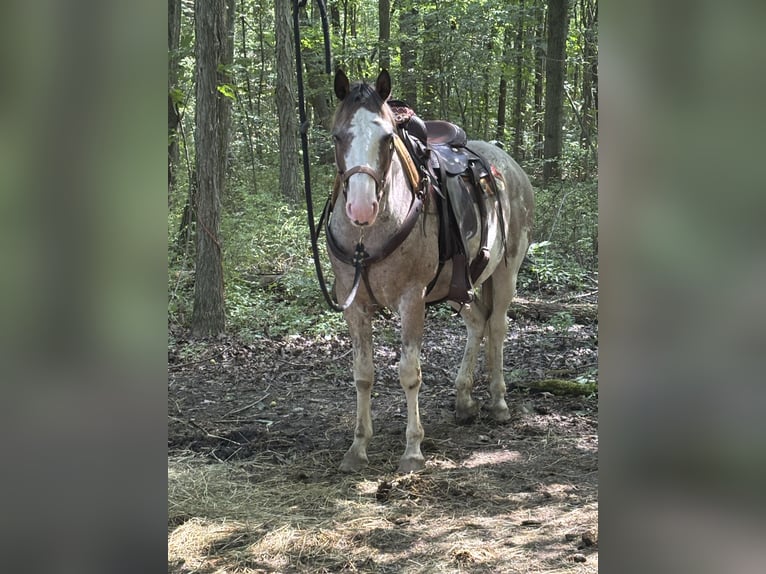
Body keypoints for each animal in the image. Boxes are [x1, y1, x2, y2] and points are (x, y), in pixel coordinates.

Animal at [327, 69, 534, 473]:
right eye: (337, 135)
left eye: (387, 138)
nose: (361, 207)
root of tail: (509, 164)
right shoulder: (354, 306)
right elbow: (363, 375)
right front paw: (357, 448)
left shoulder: (412, 300)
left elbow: (409, 373)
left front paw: (412, 451)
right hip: (459, 285)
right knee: (478, 323)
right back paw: (465, 400)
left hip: (505, 273)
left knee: (497, 327)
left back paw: (498, 401)